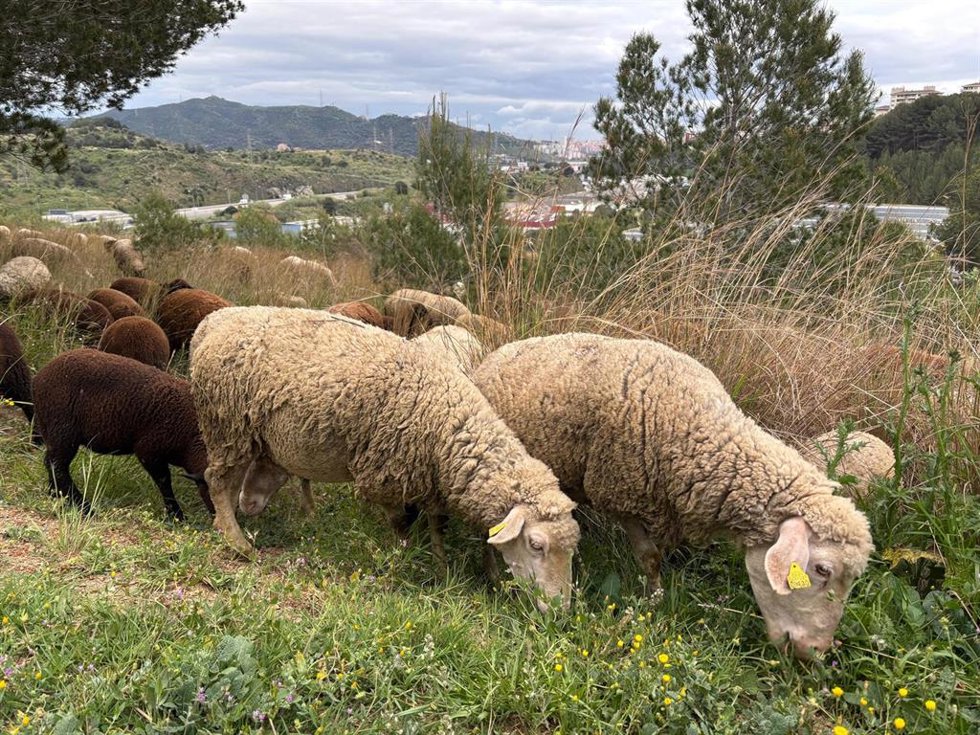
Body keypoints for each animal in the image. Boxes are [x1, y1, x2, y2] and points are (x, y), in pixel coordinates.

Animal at [32, 348, 212, 519]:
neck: (192, 438)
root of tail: (39, 377)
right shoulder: (148, 451)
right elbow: (164, 482)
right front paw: (176, 515)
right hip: (63, 431)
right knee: (56, 465)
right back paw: (84, 507)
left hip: (53, 431)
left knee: (52, 463)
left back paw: (57, 496)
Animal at [190, 307, 580, 610]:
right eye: (536, 545)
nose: (559, 611)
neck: (448, 423)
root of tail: (211, 322)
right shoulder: (389, 474)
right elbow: (401, 522)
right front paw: (404, 555)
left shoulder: (430, 480)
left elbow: (437, 525)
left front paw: (442, 567)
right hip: (226, 421)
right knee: (217, 480)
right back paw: (237, 542)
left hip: (247, 434)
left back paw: (236, 520)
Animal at [472, 334, 874, 658]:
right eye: (822, 570)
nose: (813, 652)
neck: (697, 431)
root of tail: (502, 351)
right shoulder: (622, 494)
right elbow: (649, 557)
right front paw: (654, 599)